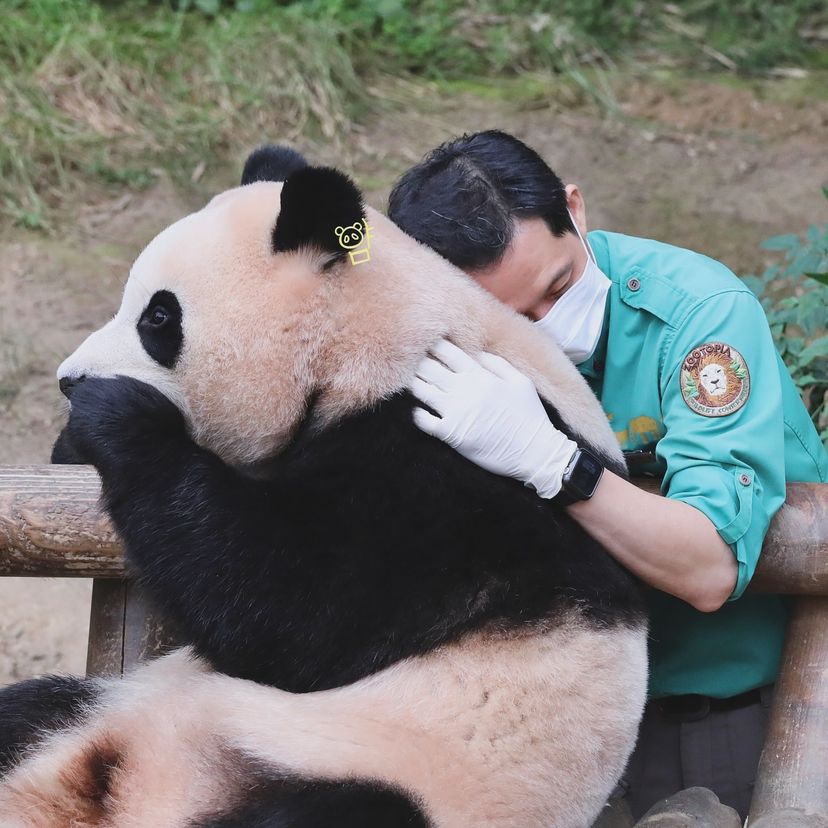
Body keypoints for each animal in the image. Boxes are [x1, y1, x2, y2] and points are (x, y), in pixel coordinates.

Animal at [0, 146, 648, 824]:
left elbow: (286, 607)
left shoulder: (446, 482)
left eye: (158, 317)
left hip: (390, 771)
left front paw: (115, 412)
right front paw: (74, 437)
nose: (69, 379)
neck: (385, 337)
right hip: (117, 704)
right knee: (32, 711)